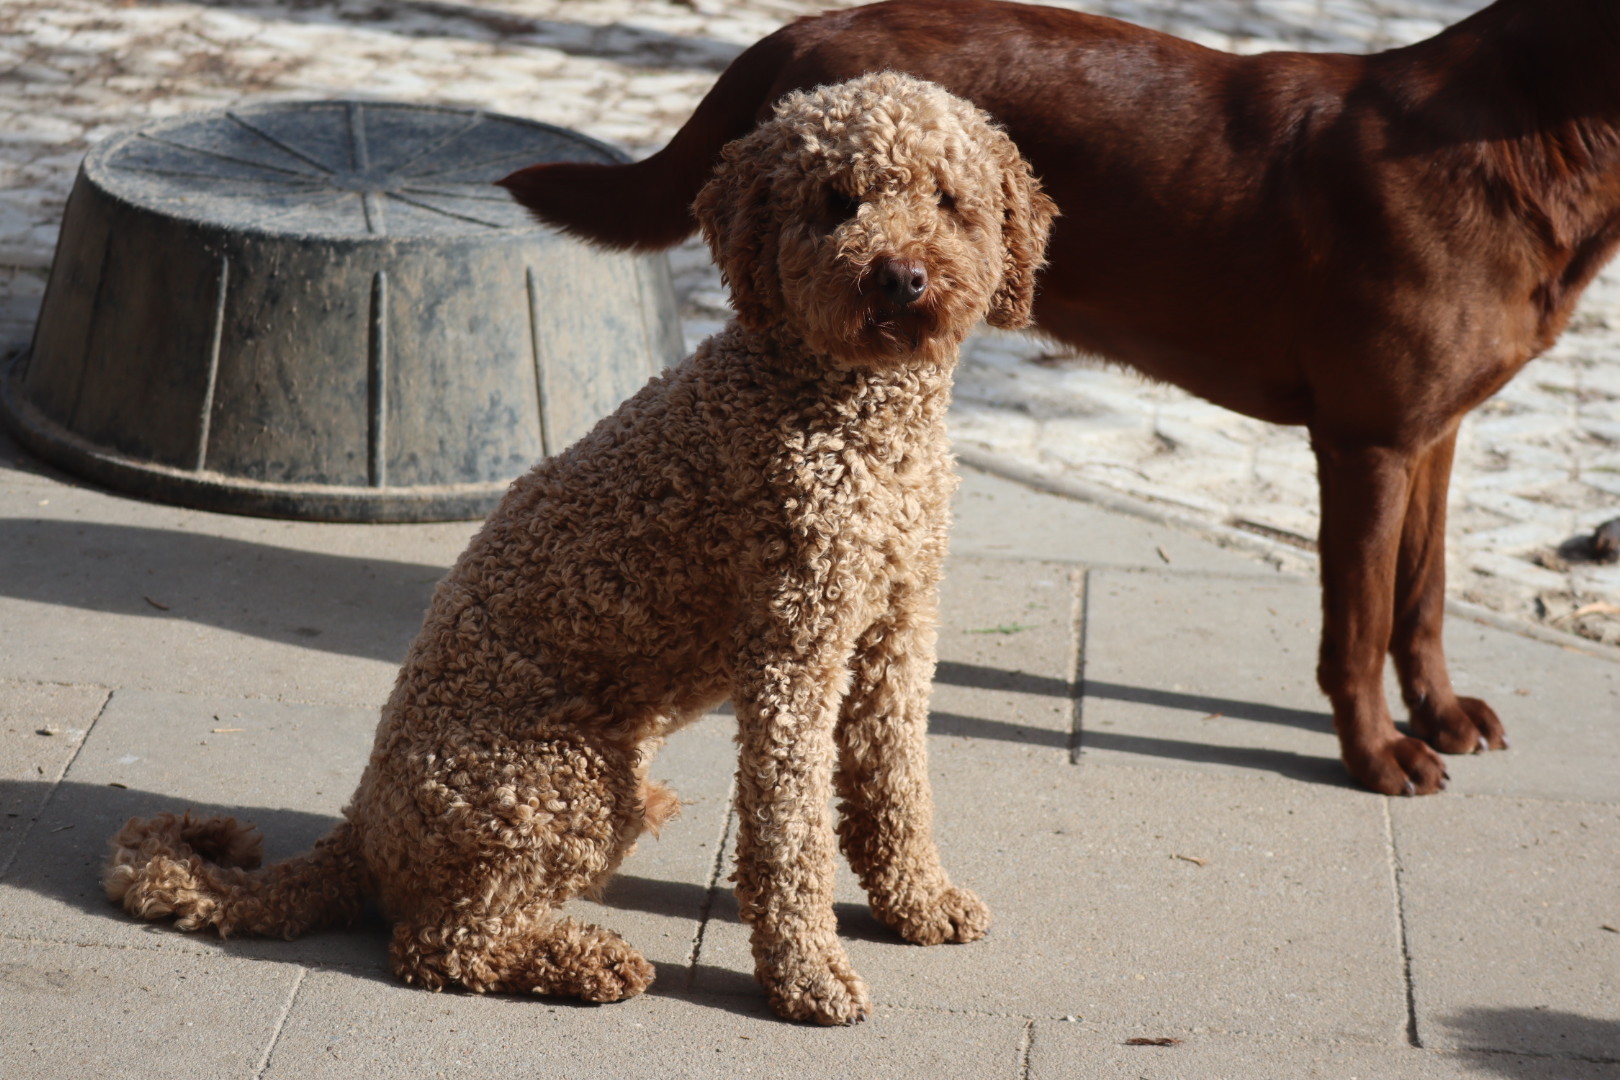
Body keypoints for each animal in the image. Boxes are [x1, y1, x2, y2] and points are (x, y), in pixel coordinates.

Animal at [104, 71, 1062, 1029]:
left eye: (949, 200)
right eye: (838, 202)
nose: (899, 277)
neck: (853, 417)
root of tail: (362, 835)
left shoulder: (897, 625)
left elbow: (894, 779)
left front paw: (917, 901)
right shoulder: (795, 647)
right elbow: (789, 826)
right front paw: (807, 973)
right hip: (564, 783)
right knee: (440, 944)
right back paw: (586, 961)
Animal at [498, 0, 1620, 793]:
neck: (1531, 135)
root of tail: (799, 30)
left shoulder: (1431, 434)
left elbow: (1421, 598)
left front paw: (1440, 714)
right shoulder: (1366, 442)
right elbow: (1357, 624)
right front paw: (1378, 755)